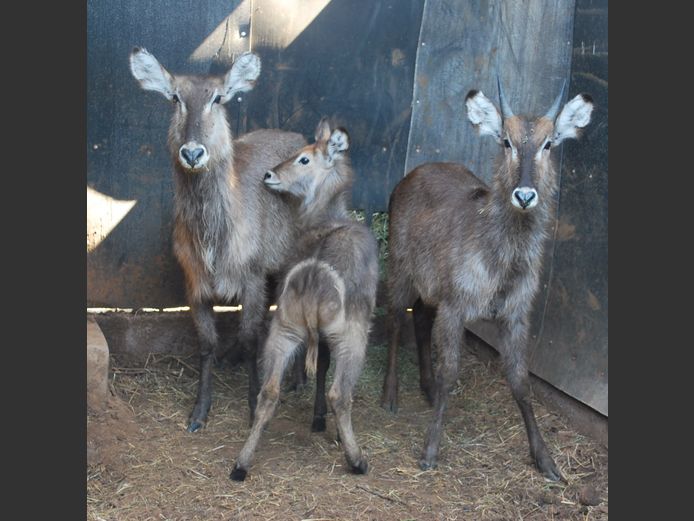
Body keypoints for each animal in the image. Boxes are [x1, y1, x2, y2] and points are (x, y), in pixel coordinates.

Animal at [130, 48, 308, 430]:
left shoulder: (252, 276)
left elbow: (252, 336)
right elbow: (206, 345)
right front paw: (199, 411)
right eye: (175, 97)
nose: (193, 153)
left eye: (218, 98)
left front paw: (254, 406)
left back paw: (300, 378)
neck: (214, 242)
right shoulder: (194, 283)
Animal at [231, 120, 378, 482]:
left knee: (269, 391)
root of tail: (313, 273)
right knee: (341, 393)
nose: (268, 174)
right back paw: (357, 460)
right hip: (352, 336)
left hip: (284, 331)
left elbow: (319, 367)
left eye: (303, 159)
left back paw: (241, 464)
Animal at [384, 81, 596, 480]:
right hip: (400, 268)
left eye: (548, 143)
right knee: (396, 318)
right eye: (506, 141)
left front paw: (546, 461)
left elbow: (522, 382)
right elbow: (450, 372)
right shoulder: (455, 307)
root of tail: (412, 173)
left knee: (420, 319)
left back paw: (426, 388)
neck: (502, 264)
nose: (525, 195)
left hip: (430, 286)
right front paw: (430, 451)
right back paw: (391, 394)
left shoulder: (514, 315)